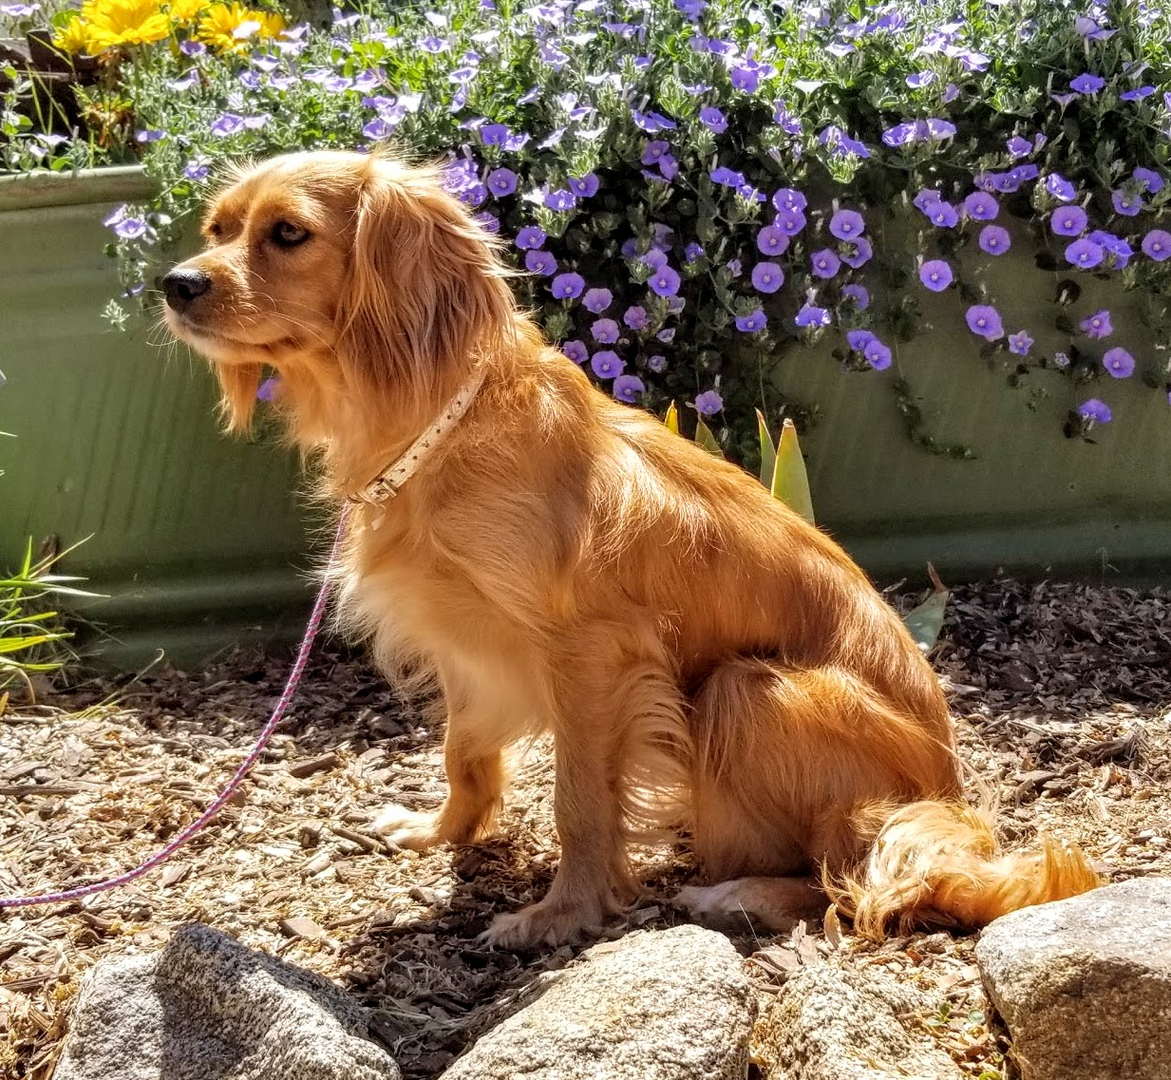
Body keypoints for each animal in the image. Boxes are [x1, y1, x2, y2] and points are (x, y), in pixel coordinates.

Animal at [162, 149, 1096, 941]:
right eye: (217, 228)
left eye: (288, 234)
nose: (174, 284)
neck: (438, 425)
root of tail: (945, 793)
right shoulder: (466, 643)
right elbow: (464, 753)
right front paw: (444, 832)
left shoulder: (590, 655)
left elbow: (579, 802)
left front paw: (559, 917)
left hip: (747, 692)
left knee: (854, 874)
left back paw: (736, 893)